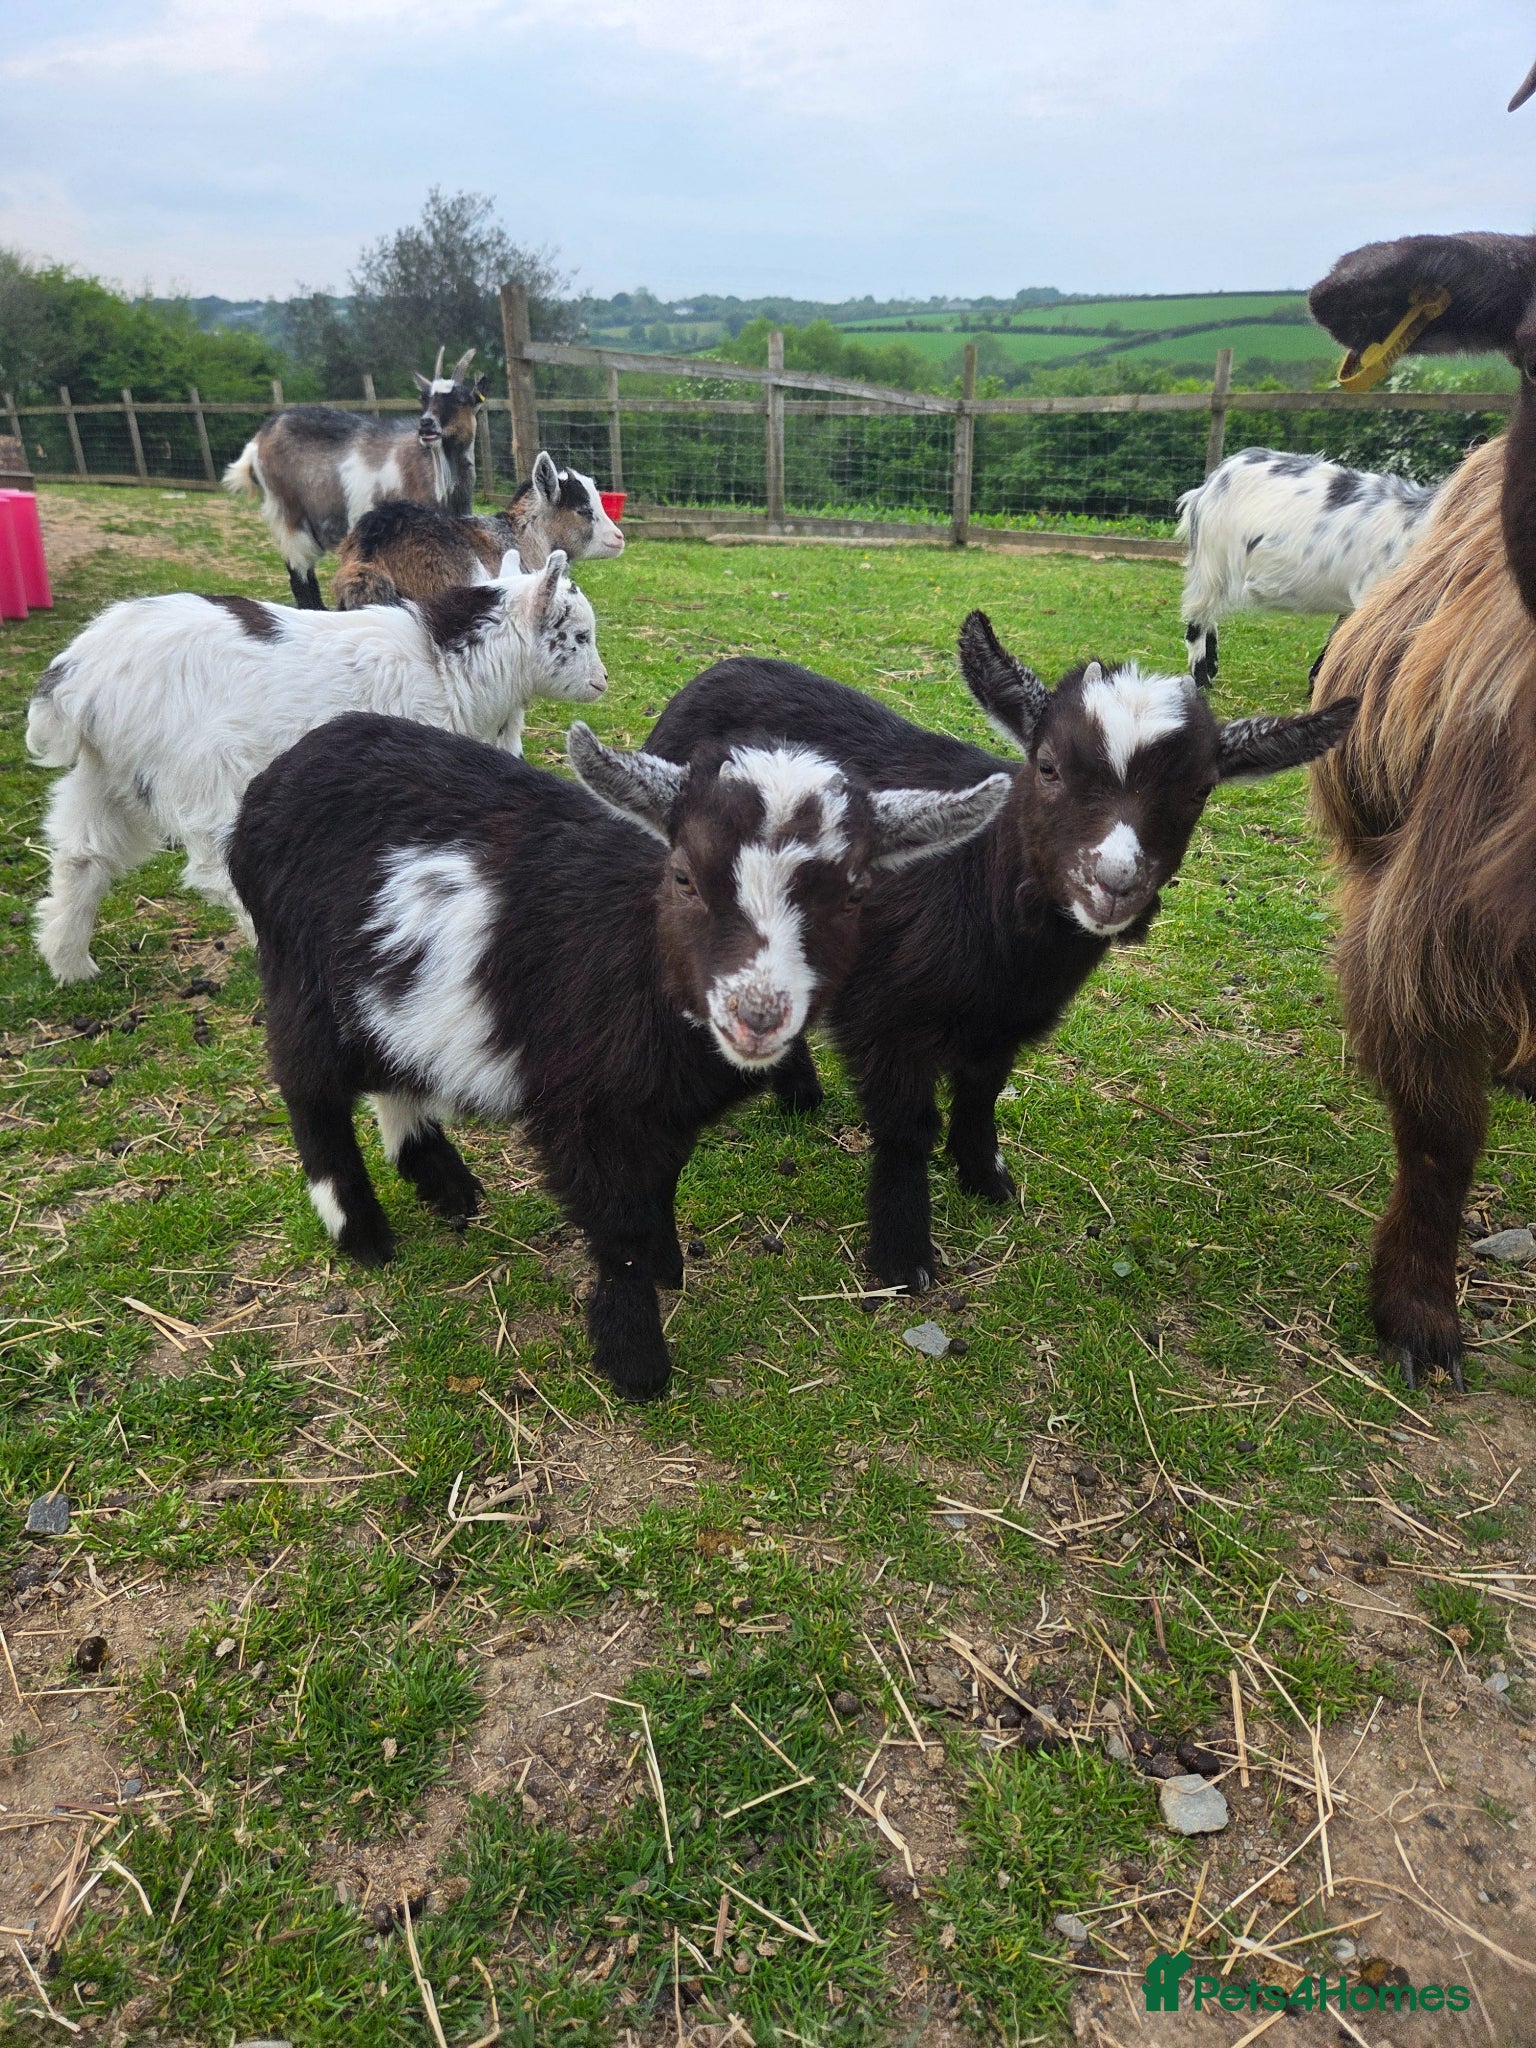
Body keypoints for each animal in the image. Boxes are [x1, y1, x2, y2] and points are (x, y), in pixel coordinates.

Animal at [26, 554, 602, 984]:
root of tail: (78, 674)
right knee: (216, 869)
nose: (602, 683)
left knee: (82, 857)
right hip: (201, 773)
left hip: (106, 775)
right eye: (577, 636)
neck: (444, 663)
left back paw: (71, 964)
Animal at [223, 348, 485, 608]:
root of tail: (259, 439)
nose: (426, 425)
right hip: (289, 515)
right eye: (424, 398)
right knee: (300, 576)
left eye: (462, 400)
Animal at [226, 713, 1009, 1397]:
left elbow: (660, 1182)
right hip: (300, 979)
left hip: (382, 987)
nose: (757, 1014)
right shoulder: (580, 1110)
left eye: (853, 896)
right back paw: (359, 1229)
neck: (640, 956)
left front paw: (668, 1267)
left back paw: (443, 1182)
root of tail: (286, 767)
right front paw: (635, 1362)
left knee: (392, 1066)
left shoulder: (658, 1111)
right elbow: (618, 1225)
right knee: (309, 1088)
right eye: (685, 876)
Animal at [647, 616, 1355, 1294]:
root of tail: (719, 672)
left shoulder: (1004, 1021)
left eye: (1201, 789)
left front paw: (987, 1182)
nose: (1115, 881)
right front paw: (904, 1257)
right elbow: (907, 1128)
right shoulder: (887, 1017)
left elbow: (982, 1094)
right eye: (1048, 766)